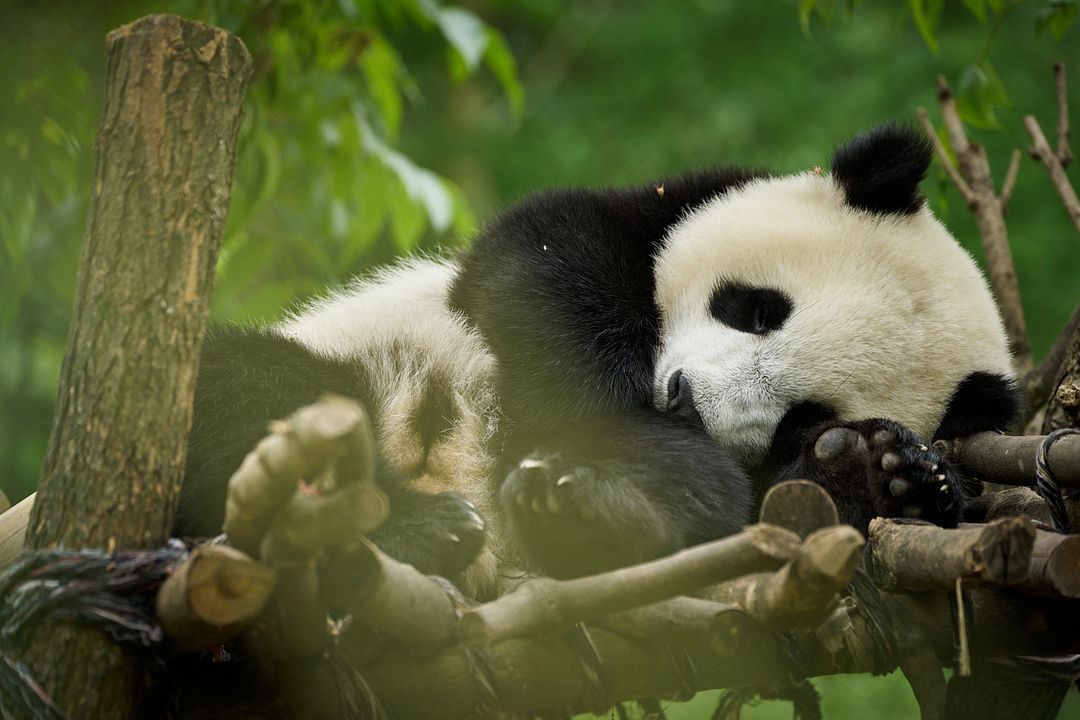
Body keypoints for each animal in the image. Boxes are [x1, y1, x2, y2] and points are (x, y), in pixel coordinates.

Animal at [176, 123, 1020, 597]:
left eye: (802, 415)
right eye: (756, 309)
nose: (682, 400)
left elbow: (758, 515)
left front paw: (884, 470)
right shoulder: (638, 216)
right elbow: (545, 264)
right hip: (351, 370)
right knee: (252, 394)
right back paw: (421, 525)